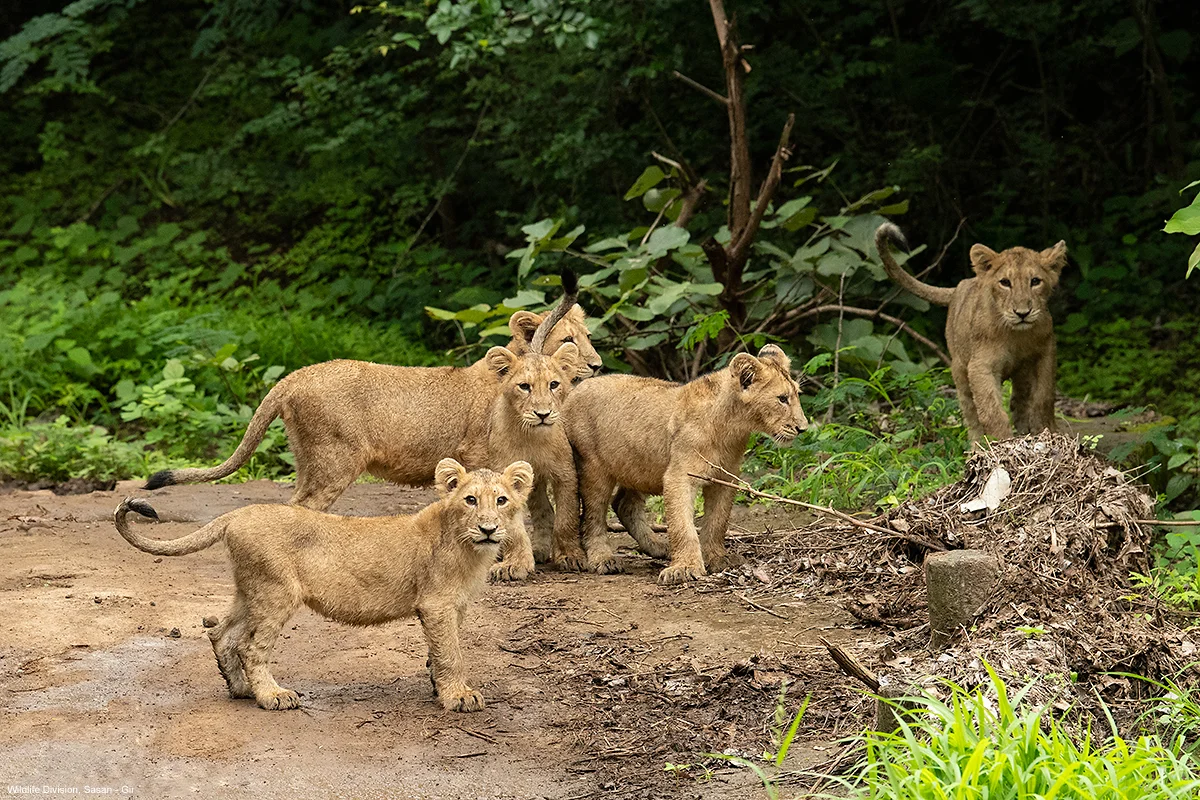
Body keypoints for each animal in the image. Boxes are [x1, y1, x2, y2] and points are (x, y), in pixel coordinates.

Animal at [114, 458, 533, 712]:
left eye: (501, 500)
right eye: (470, 500)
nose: (488, 528)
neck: (468, 548)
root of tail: (238, 513)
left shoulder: (455, 605)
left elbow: (441, 651)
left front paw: (438, 686)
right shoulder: (436, 604)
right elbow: (452, 654)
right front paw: (458, 696)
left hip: (251, 589)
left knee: (222, 633)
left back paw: (241, 689)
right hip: (276, 591)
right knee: (250, 646)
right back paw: (272, 695)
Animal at [144, 272, 590, 515]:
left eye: (588, 335)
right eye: (568, 339)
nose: (598, 364)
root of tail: (293, 377)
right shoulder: (477, 454)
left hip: (309, 460)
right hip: (336, 460)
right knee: (304, 508)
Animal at [564, 345, 808, 584]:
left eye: (797, 395)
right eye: (782, 399)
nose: (803, 428)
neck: (731, 427)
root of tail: (576, 390)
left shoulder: (725, 478)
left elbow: (718, 522)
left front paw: (716, 558)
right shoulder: (679, 476)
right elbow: (682, 525)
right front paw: (685, 568)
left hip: (640, 466)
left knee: (625, 505)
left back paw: (658, 547)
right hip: (594, 468)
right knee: (593, 517)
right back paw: (603, 559)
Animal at [875, 223, 1067, 442]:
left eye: (1035, 281)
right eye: (1005, 282)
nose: (1022, 313)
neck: (1017, 335)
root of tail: (960, 285)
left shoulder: (1046, 352)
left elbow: (1044, 397)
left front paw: (1047, 429)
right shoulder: (980, 365)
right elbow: (990, 410)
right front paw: (1002, 441)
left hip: (1021, 372)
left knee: (1019, 401)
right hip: (959, 371)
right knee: (971, 415)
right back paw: (977, 446)